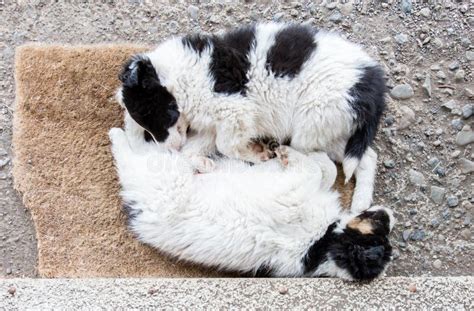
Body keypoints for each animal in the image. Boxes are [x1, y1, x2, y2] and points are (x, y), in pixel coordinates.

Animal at [109, 114, 394, 280]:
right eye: (379, 223)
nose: (390, 214)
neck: (321, 243)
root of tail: (140, 203)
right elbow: (324, 169)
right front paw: (291, 153)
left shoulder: (291, 186)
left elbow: (316, 169)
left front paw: (288, 153)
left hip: (163, 172)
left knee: (136, 151)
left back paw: (119, 133)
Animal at [116, 22, 386, 213]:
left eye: (150, 113)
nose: (168, 149)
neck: (181, 77)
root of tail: (372, 84)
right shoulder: (212, 125)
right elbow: (194, 150)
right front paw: (203, 163)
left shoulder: (234, 110)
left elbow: (226, 145)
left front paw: (256, 154)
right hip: (331, 125)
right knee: (365, 157)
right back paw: (360, 203)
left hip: (312, 117)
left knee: (325, 160)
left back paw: (283, 154)